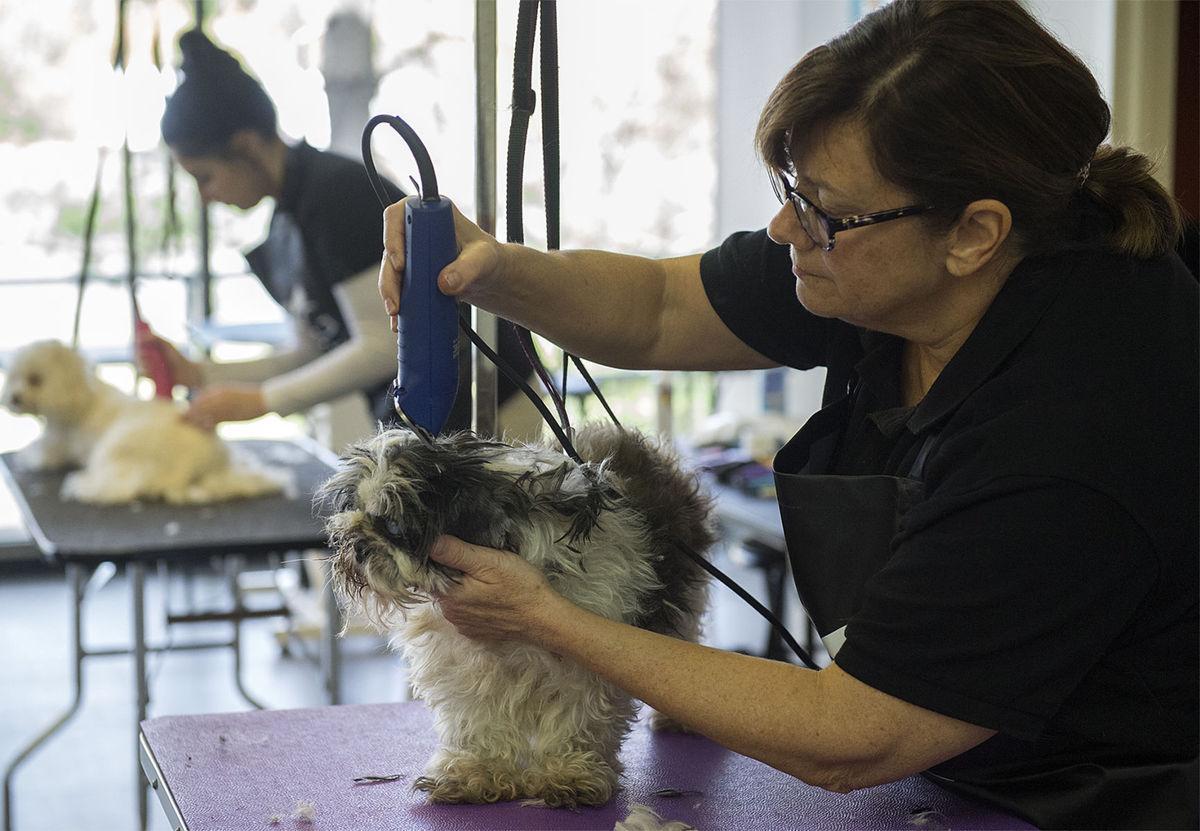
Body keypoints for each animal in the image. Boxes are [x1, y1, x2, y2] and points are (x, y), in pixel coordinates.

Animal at [0, 338, 282, 506]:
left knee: (121, 487)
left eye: (35, 379)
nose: (14, 398)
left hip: (116, 445)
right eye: (13, 377)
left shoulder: (57, 444)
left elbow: (42, 453)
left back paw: (83, 485)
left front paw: (28, 457)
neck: (83, 396)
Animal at [314, 422, 715, 806]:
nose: (355, 543)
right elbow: (478, 719)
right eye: (354, 510)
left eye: (394, 526)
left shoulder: (585, 664)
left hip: (685, 594)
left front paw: (569, 773)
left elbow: (577, 720)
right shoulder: (464, 664)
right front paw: (477, 771)